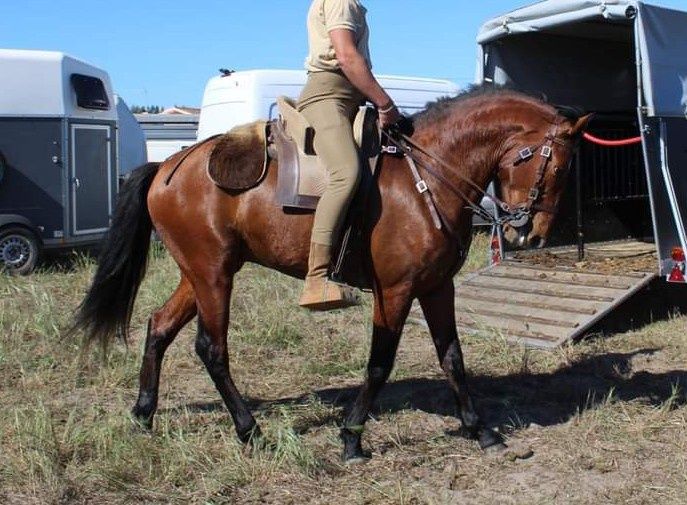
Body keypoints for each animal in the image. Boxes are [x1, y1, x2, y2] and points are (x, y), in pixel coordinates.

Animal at [73, 86, 590, 462]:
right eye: (559, 167)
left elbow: (452, 358)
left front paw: (481, 432)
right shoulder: (395, 291)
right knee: (211, 349)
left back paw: (144, 414)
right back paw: (250, 430)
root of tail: (168, 165)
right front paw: (352, 437)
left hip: (199, 274)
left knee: (159, 327)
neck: (424, 178)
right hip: (214, 276)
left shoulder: (437, 287)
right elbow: (380, 364)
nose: (532, 235)